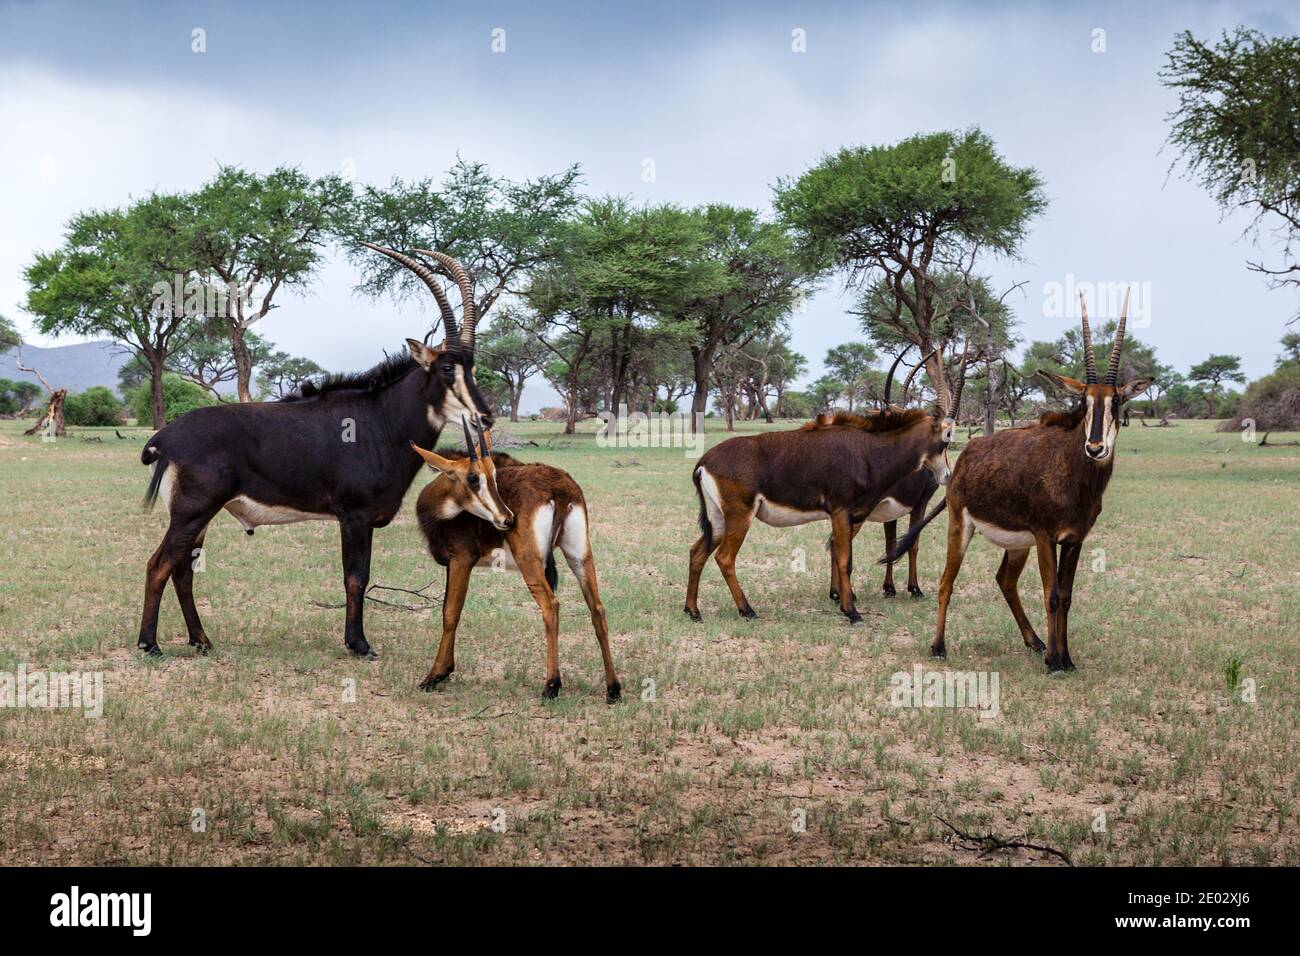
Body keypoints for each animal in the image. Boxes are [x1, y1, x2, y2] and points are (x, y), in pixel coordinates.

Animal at [135, 248, 491, 658]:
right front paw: (358, 644)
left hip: (200, 515)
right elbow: (356, 577)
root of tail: (166, 437)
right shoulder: (353, 517)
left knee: (182, 569)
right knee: (159, 564)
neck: (381, 419)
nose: (485, 416)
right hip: (192, 511)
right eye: (447, 368)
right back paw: (149, 644)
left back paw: (202, 640)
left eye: (472, 368)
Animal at [413, 429, 621, 697]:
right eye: (473, 477)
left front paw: (435, 674)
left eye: (492, 476)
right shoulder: (453, 564)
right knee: (597, 608)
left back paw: (552, 685)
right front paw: (447, 670)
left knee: (551, 605)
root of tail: (559, 488)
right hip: (579, 555)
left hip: (528, 560)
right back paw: (613, 688)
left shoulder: (461, 559)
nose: (507, 519)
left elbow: (450, 612)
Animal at [681, 348, 967, 624]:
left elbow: (842, 554)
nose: (946, 475)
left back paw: (693, 611)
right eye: (946, 437)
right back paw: (747, 610)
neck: (868, 452)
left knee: (697, 552)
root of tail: (704, 462)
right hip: (740, 516)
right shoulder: (841, 511)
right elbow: (845, 560)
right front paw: (852, 612)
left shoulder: (851, 515)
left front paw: (845, 604)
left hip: (719, 519)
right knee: (724, 557)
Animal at [889, 291, 1154, 671]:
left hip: (1017, 544)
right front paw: (1055, 662)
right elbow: (1051, 595)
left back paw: (1034, 641)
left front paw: (1066, 658)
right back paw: (939, 646)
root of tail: (965, 456)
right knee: (945, 581)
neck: (1073, 472)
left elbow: (1067, 596)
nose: (1095, 447)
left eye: (1116, 400)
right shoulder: (1045, 537)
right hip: (962, 526)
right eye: (1083, 400)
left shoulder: (1074, 540)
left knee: (1005, 580)